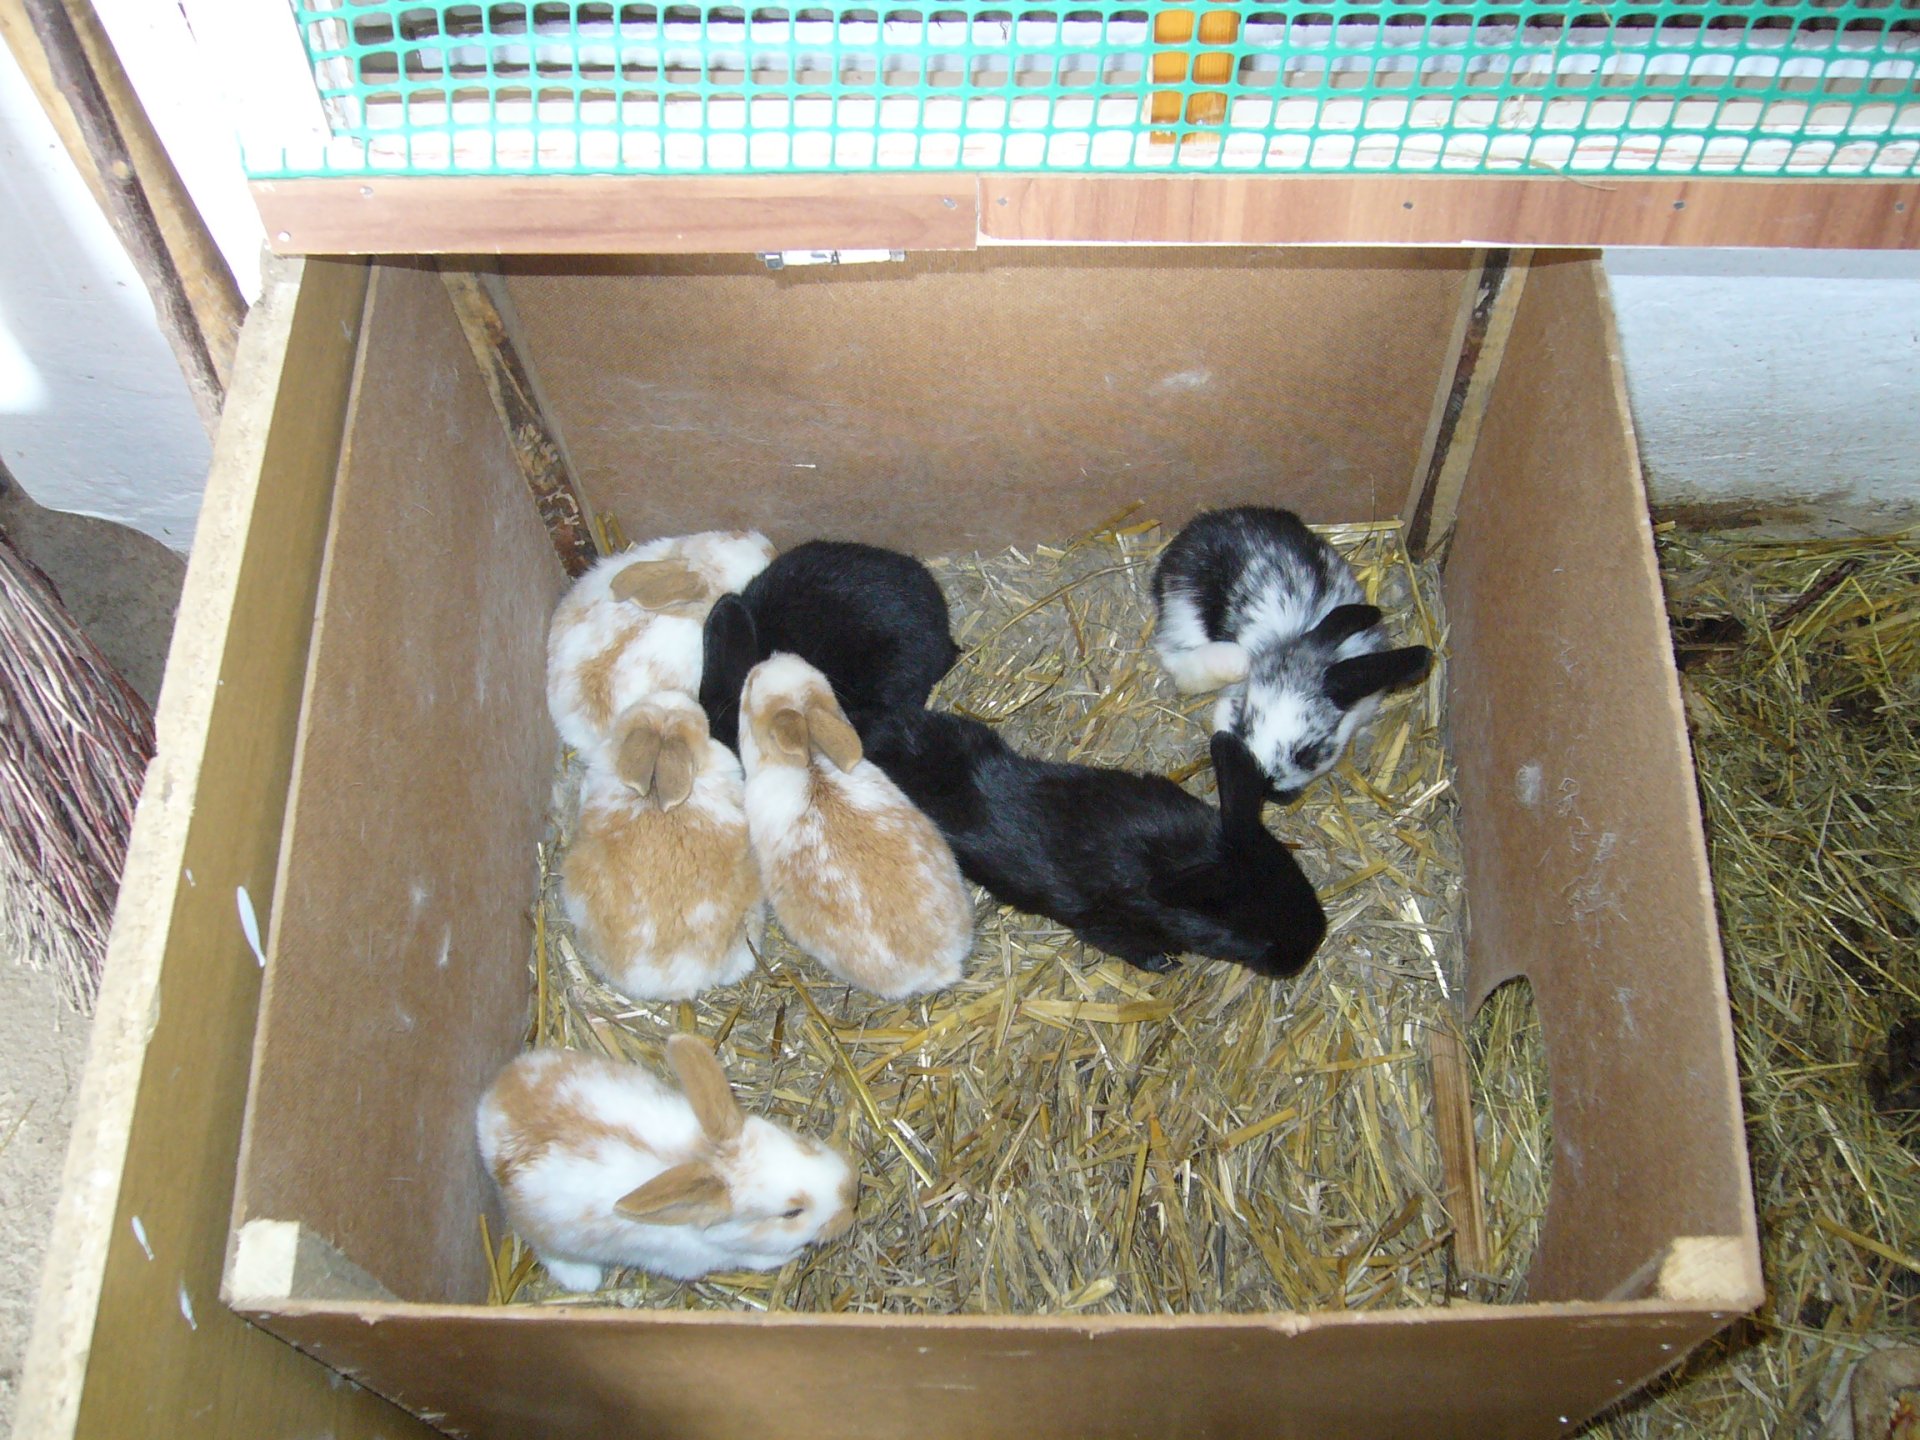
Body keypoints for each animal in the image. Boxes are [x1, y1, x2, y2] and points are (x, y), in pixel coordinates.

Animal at [476, 1036, 856, 1290]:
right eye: (790, 1213)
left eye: (801, 1142)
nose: (850, 1201)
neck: (701, 1158)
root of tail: (490, 1110)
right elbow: (754, 1257)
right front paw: (790, 1255)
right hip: (550, 1236)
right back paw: (582, 1280)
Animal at [860, 708, 1326, 979]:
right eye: (1253, 938)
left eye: (1298, 879)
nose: (1308, 949)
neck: (1178, 853)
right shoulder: (1099, 921)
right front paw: (1167, 964)